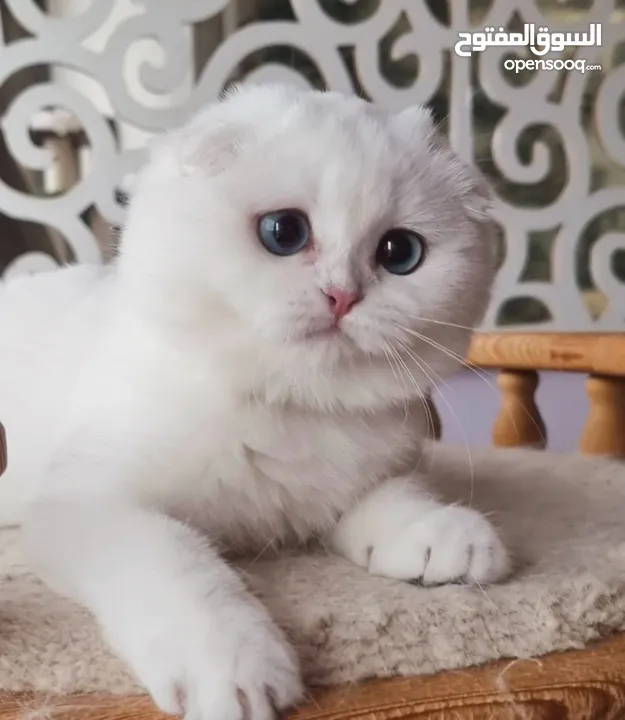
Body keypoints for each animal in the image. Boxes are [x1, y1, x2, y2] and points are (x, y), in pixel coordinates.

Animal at [0, 84, 508, 720]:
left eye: (400, 252)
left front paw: (441, 533)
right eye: (283, 232)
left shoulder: (373, 467)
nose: (343, 296)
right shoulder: (89, 506)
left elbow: (394, 494)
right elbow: (179, 565)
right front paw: (233, 663)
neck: (287, 408)